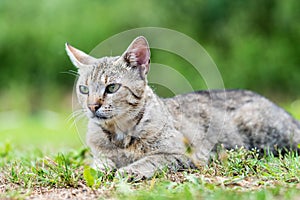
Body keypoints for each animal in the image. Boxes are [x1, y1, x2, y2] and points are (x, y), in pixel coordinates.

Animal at [65, 36, 300, 180]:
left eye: (112, 87)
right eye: (84, 89)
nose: (92, 106)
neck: (120, 133)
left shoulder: (187, 154)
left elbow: (152, 159)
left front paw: (131, 170)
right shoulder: (101, 154)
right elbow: (98, 163)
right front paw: (98, 168)